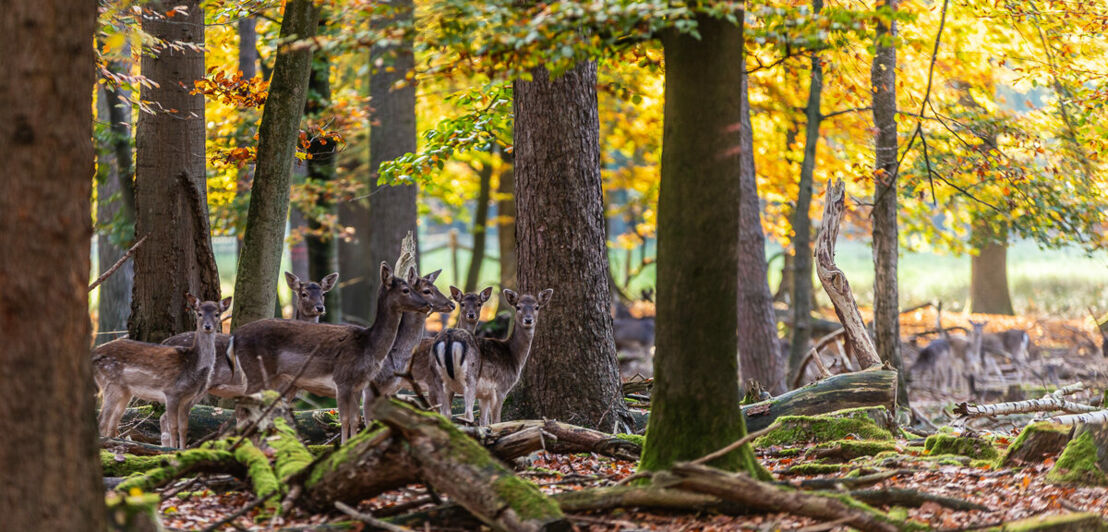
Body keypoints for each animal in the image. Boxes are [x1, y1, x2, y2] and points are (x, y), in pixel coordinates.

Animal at [94, 292, 232, 447]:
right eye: (199, 313)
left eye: (217, 314)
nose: (207, 326)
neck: (193, 366)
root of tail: (95, 352)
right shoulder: (172, 392)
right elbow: (173, 426)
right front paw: (172, 449)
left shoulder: (187, 399)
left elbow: (184, 428)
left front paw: (182, 449)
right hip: (111, 383)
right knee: (102, 421)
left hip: (125, 391)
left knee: (112, 423)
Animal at [229, 263, 427, 443]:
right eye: (406, 290)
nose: (427, 304)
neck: (369, 346)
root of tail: (235, 336)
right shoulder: (342, 380)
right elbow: (344, 419)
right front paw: (343, 447)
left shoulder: (358, 385)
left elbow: (355, 419)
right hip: (255, 372)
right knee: (242, 409)